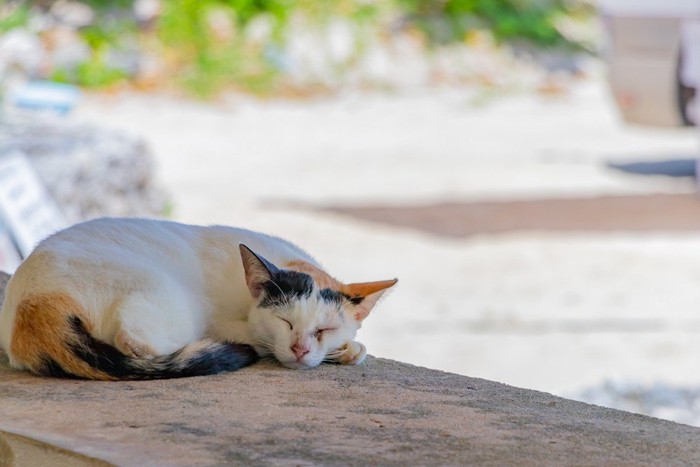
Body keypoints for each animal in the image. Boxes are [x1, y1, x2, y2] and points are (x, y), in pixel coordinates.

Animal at [0, 218, 396, 380]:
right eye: (285, 322)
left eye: (323, 329)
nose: (300, 349)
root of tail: (34, 306)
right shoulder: (225, 319)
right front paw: (346, 351)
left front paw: (343, 349)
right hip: (167, 294)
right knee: (134, 341)